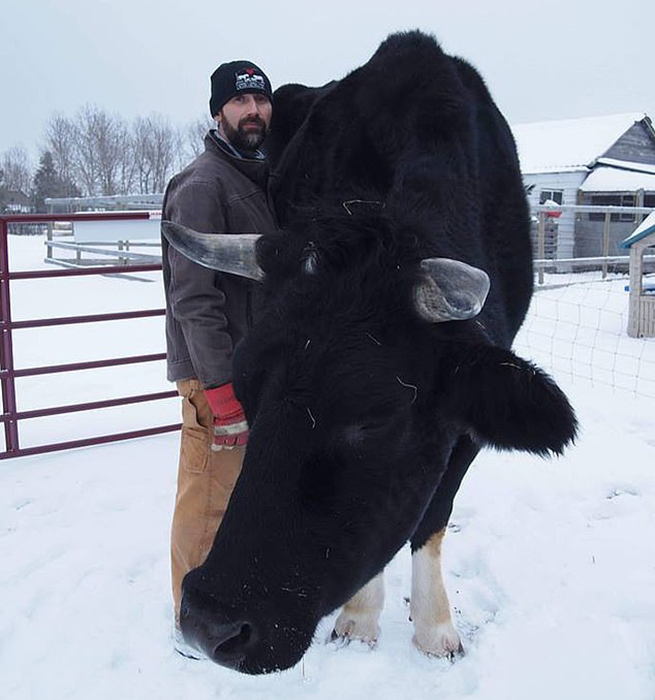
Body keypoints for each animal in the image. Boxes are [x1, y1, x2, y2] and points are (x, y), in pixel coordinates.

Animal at [164, 31, 580, 672]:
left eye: (374, 418)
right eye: (247, 387)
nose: (211, 624)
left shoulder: (469, 410)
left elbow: (431, 516)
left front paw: (435, 628)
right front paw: (360, 618)